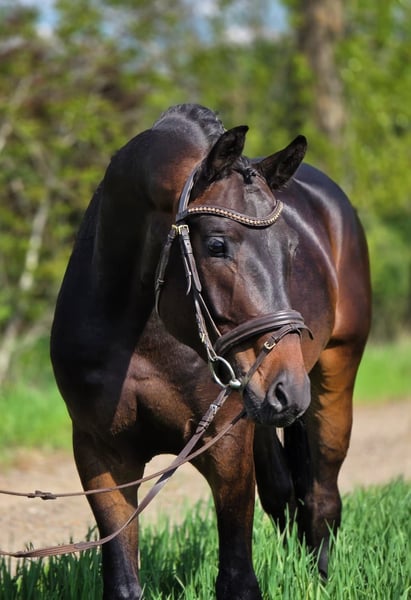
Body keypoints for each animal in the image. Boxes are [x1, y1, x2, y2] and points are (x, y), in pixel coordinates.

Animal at [50, 103, 371, 599]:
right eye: (217, 245)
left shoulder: (226, 449)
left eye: (292, 249)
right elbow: (123, 581)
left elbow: (237, 579)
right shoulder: (101, 456)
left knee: (322, 495)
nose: (288, 388)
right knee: (284, 492)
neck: (143, 338)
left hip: (334, 372)